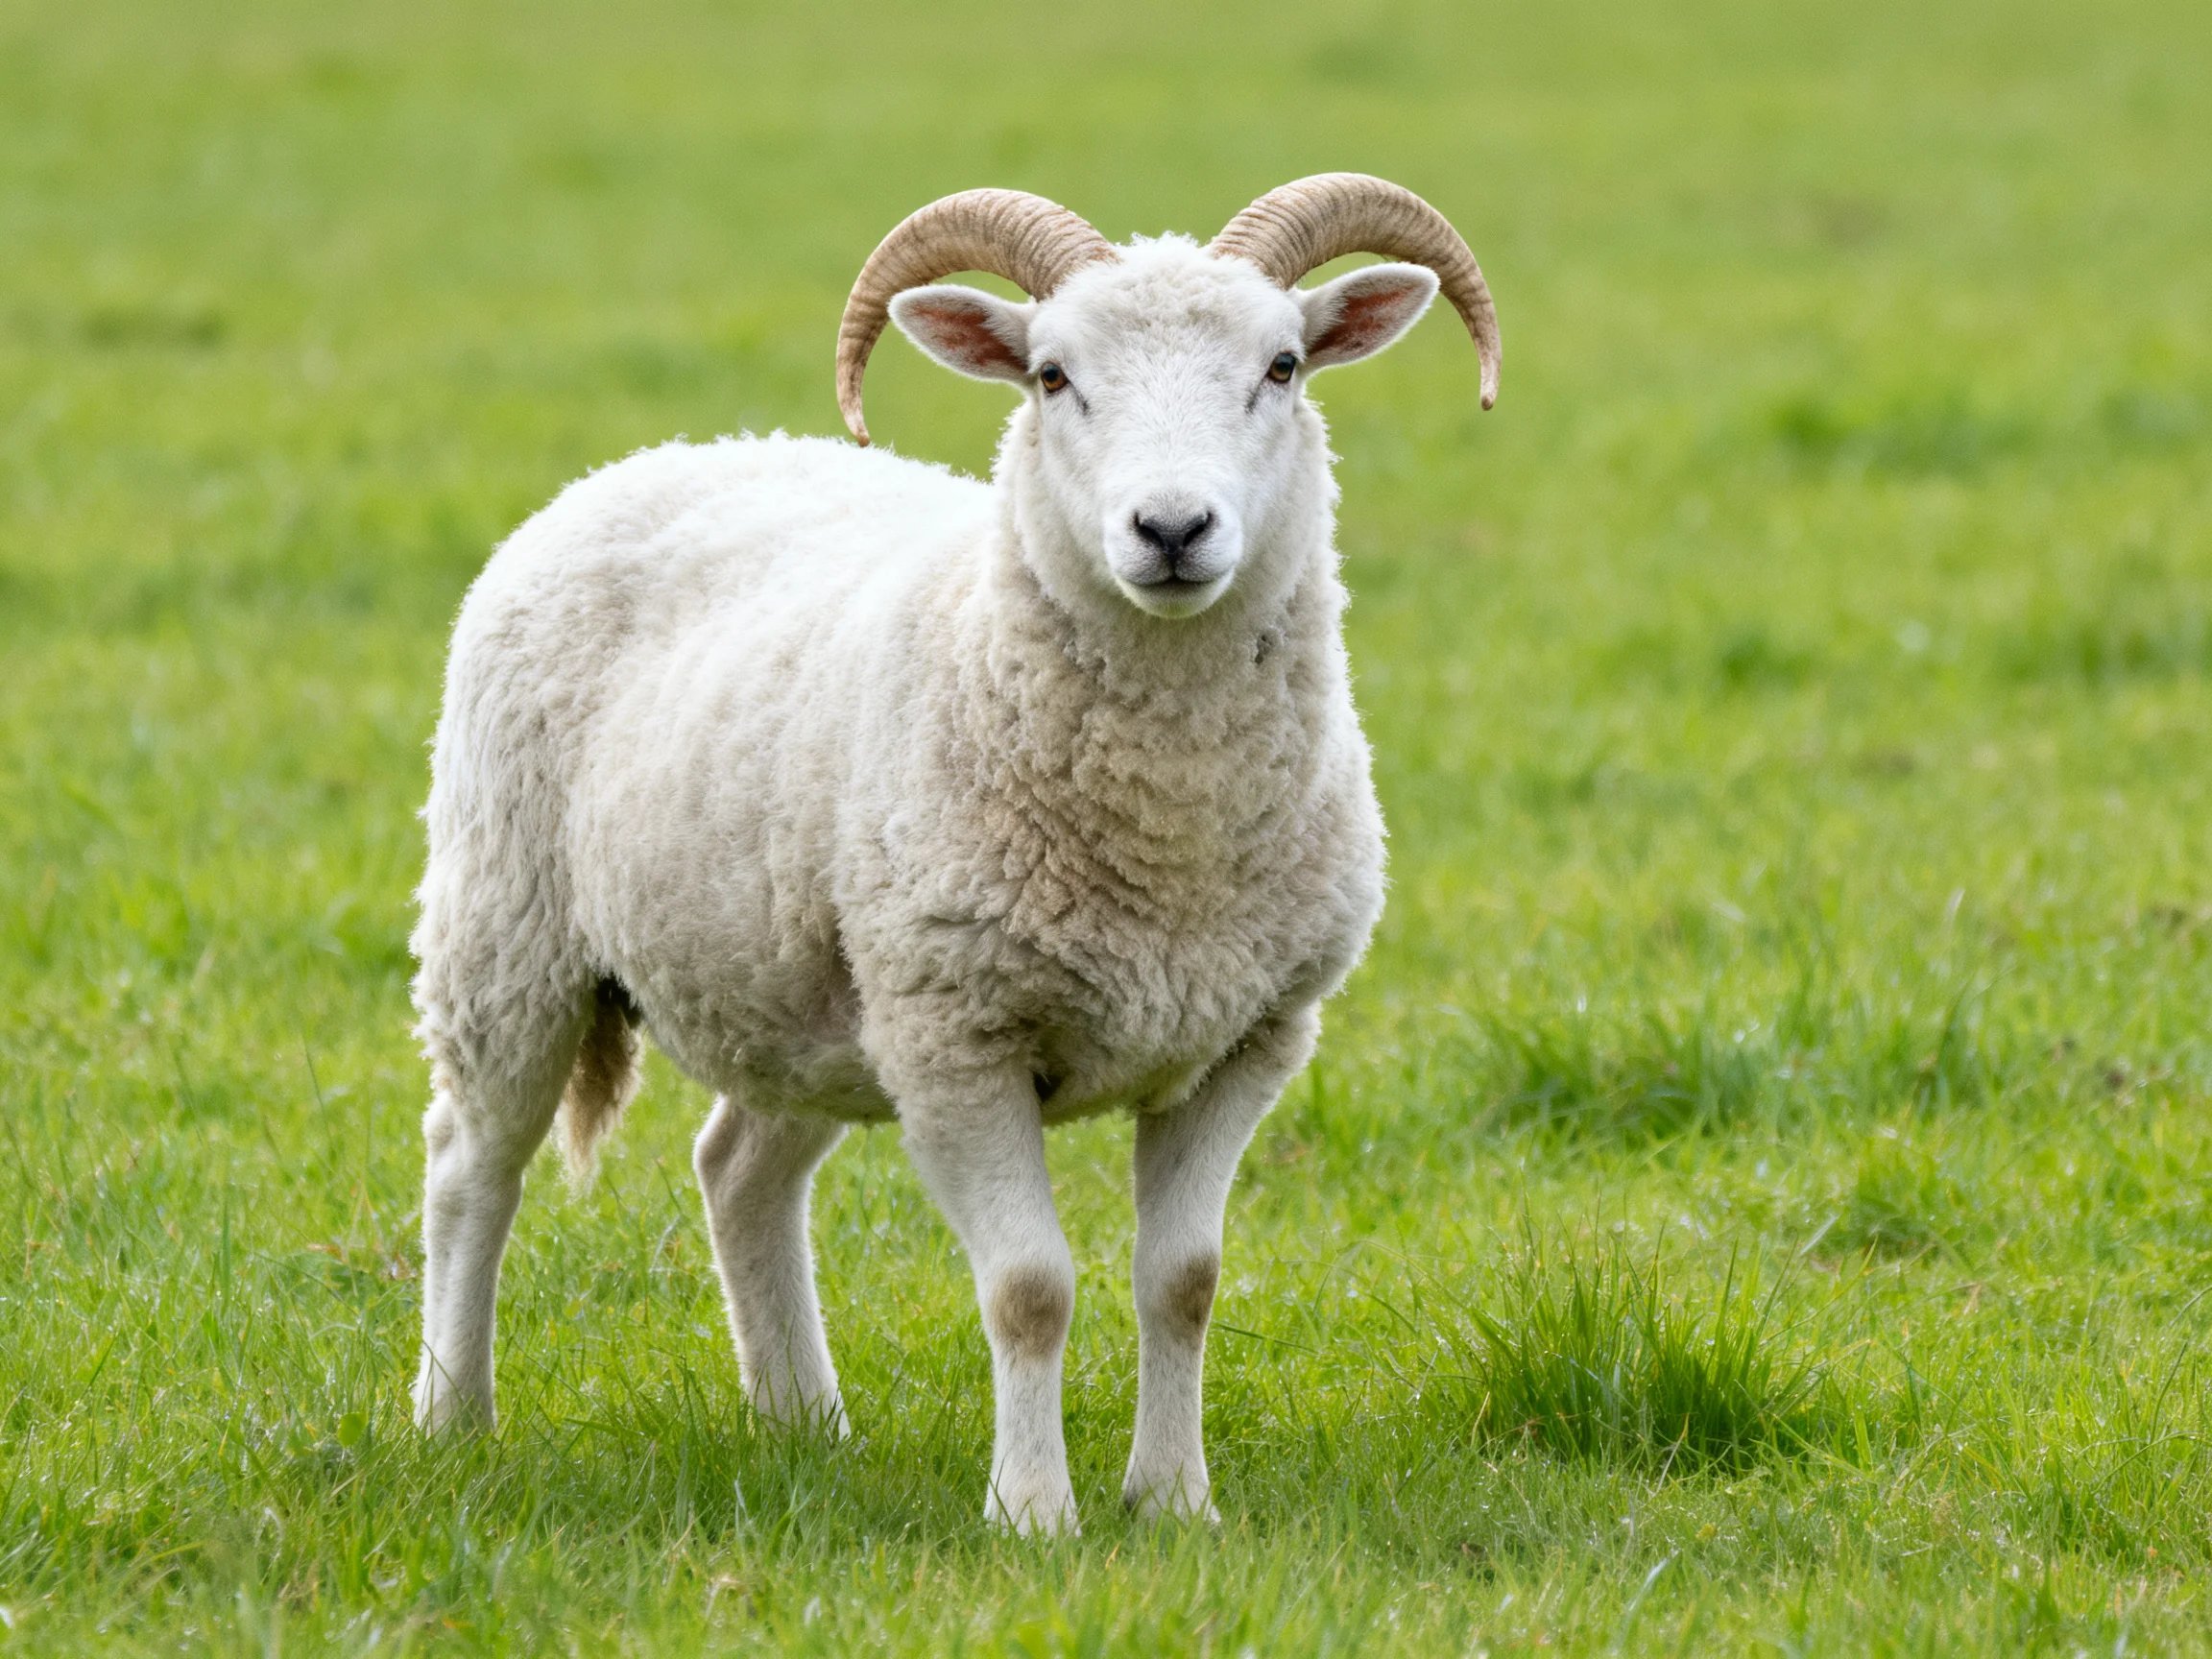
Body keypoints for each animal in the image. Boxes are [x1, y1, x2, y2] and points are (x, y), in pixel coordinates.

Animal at [409, 174, 1500, 1534]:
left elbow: (1184, 1279)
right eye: (1050, 375)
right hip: (510, 929)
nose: (1173, 528)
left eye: (1284, 366)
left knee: (739, 1170)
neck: (1170, 840)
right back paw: (452, 1421)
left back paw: (805, 1426)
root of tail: (667, 455)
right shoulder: (958, 1041)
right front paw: (1033, 1516)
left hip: (811, 998)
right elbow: (1029, 1288)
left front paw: (1172, 1503)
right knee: (471, 1166)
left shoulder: (1244, 1040)